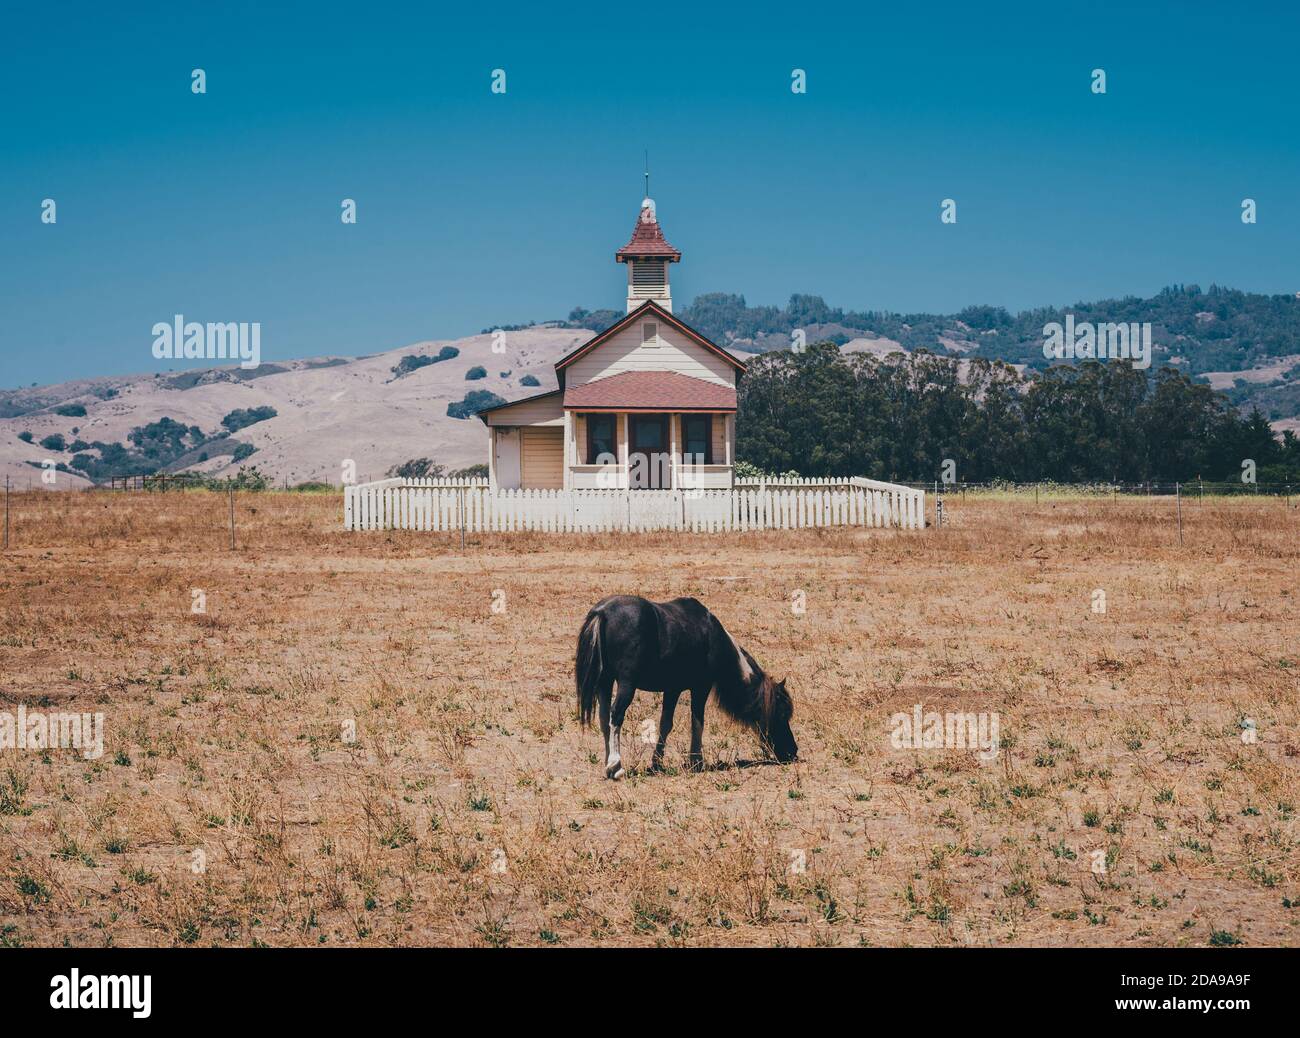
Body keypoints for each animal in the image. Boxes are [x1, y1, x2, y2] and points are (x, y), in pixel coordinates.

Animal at [577, 598, 795, 775]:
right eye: (782, 713)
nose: (792, 751)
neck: (712, 636)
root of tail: (603, 612)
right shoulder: (701, 688)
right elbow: (697, 722)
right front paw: (696, 761)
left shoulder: (672, 690)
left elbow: (666, 724)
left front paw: (657, 763)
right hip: (625, 684)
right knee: (616, 716)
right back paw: (616, 766)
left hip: (604, 682)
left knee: (604, 718)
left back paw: (608, 763)